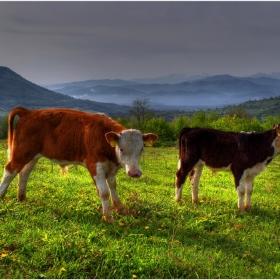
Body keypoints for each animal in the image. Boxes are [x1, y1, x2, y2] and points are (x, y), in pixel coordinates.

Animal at [0, 106, 158, 217]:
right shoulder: (95, 166)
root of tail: (28, 112)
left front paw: (120, 209)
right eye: (121, 149)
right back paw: (2, 195)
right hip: (22, 152)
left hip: (32, 155)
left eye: (142, 149)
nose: (134, 172)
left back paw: (21, 197)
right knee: (9, 170)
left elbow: (113, 186)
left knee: (24, 172)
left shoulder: (111, 168)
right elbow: (104, 192)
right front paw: (108, 216)